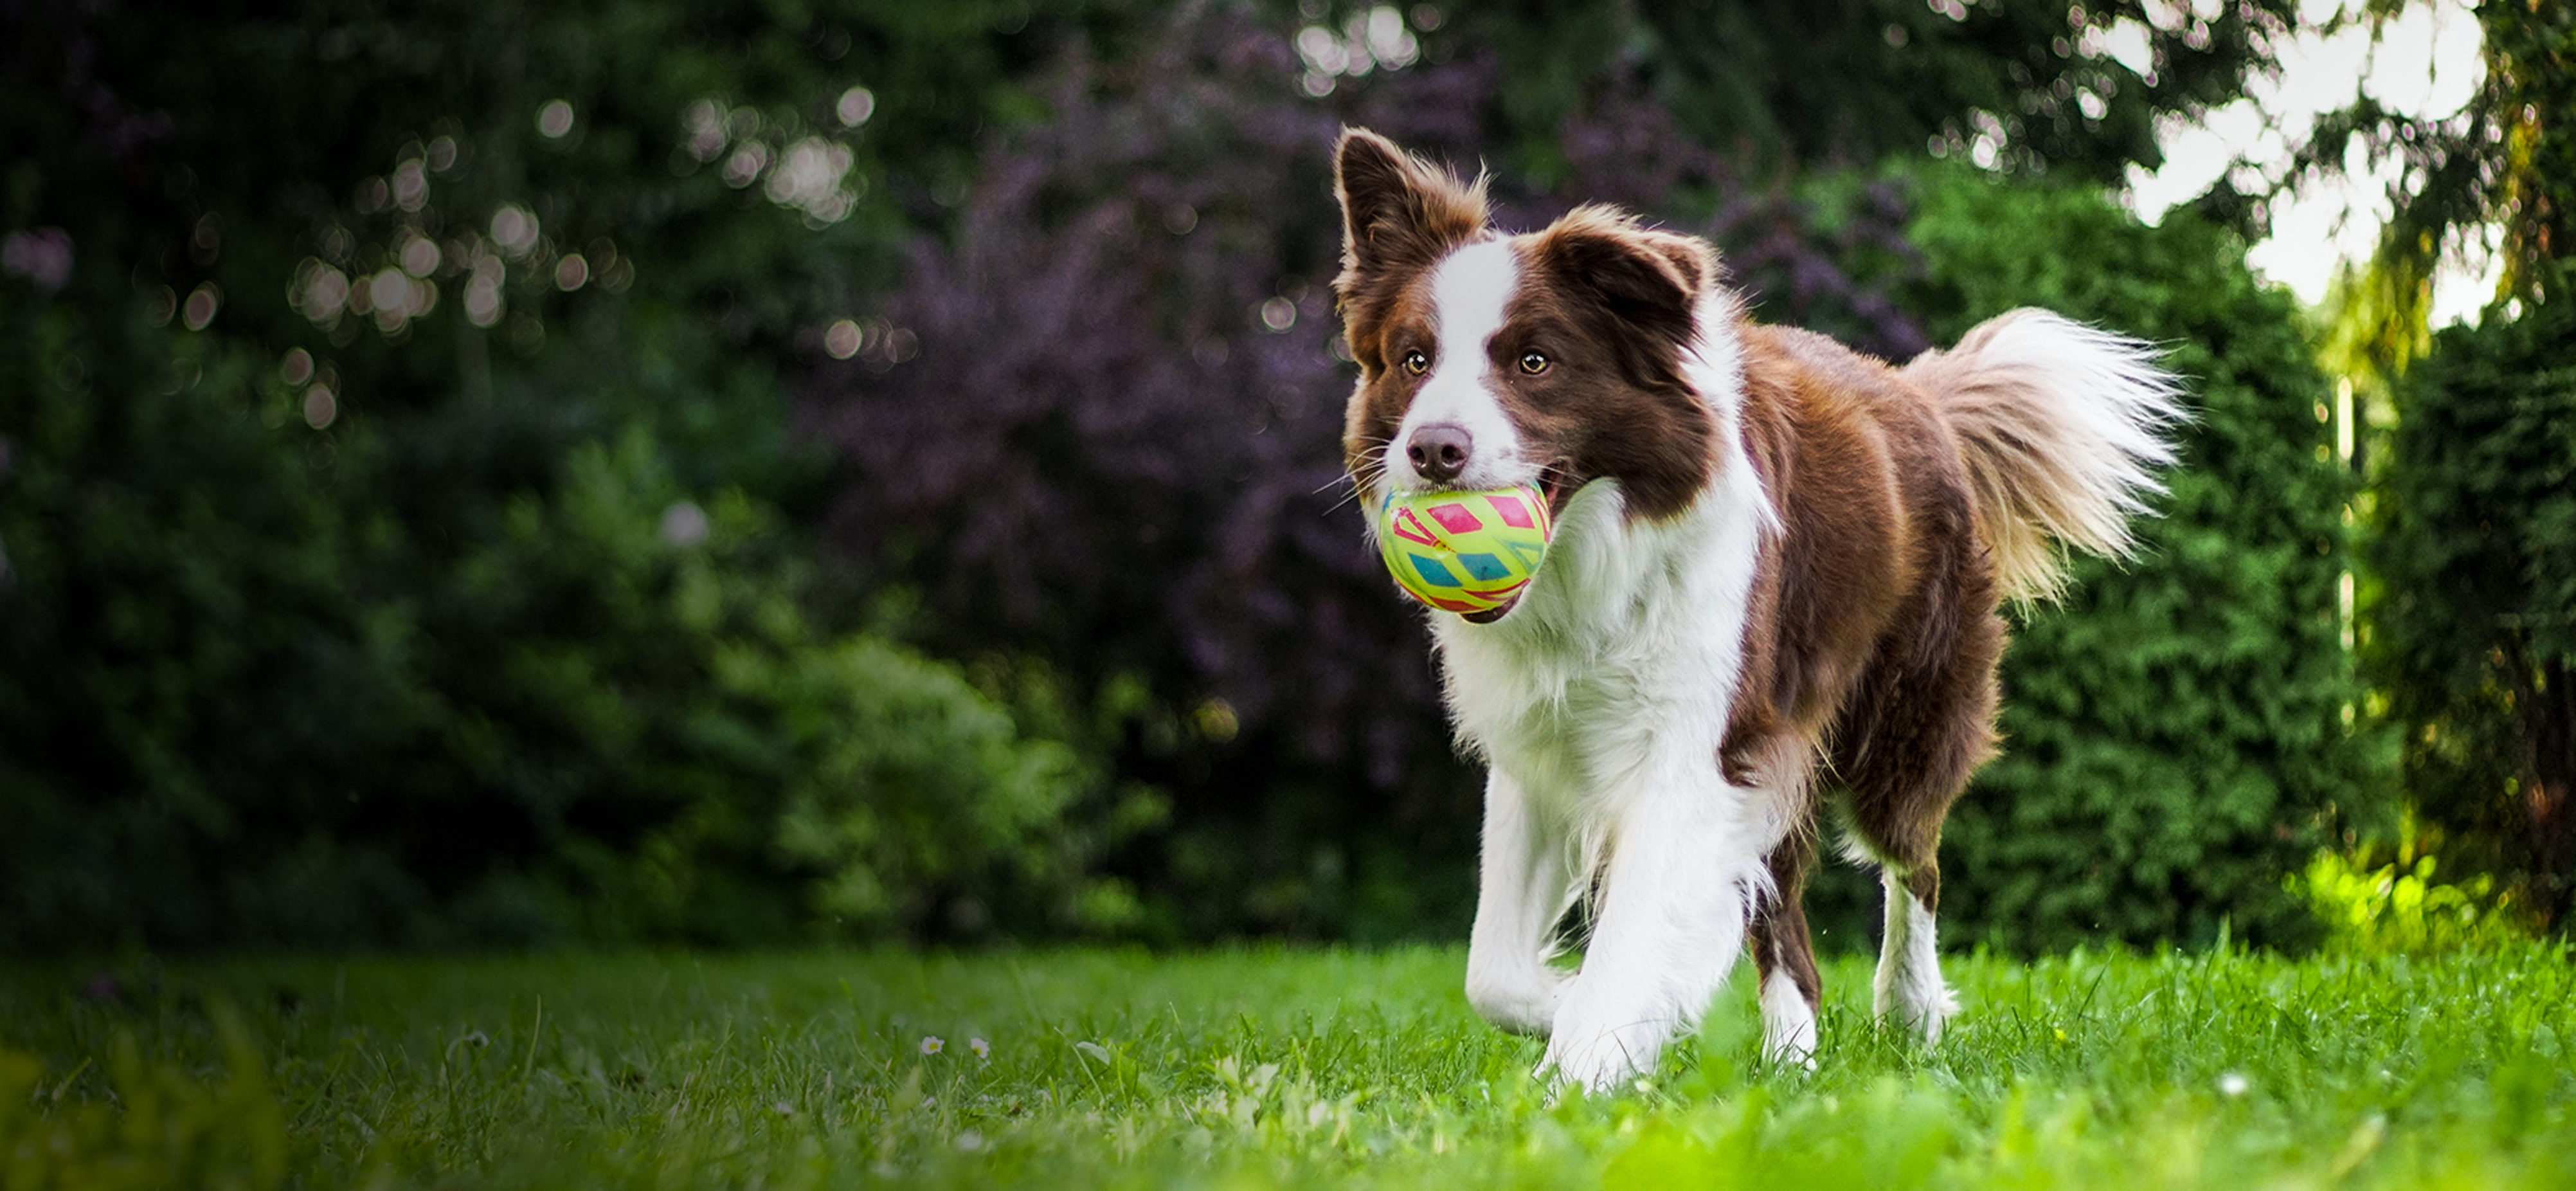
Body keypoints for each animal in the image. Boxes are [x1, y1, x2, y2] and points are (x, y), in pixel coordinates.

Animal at [1339, 128, 2184, 1087]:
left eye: (1533, 362)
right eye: (1413, 360)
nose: (1431, 450)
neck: (1591, 561)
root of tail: (1915, 393)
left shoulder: (1698, 746)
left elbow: (1632, 936)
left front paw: (1582, 1069)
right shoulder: (1542, 746)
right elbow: (1493, 972)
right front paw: (1587, 1014)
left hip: (1900, 718)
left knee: (1913, 861)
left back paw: (1907, 1010)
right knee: (1786, 922)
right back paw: (1792, 1060)